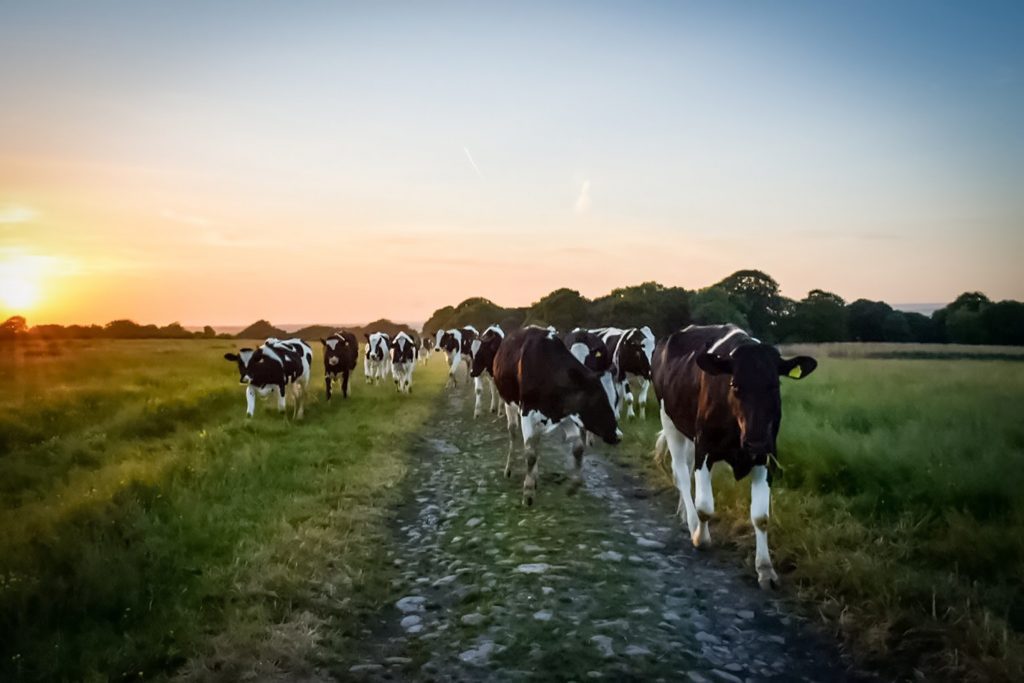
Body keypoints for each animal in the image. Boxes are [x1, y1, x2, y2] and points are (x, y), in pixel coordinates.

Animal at [491, 325, 618, 507]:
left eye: (616, 399)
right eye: (597, 401)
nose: (617, 435)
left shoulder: (565, 413)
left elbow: (578, 448)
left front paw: (574, 485)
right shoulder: (527, 412)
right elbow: (530, 454)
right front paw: (528, 493)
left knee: (536, 442)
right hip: (509, 404)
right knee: (513, 433)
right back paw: (509, 469)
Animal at [651, 325, 819, 589]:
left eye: (775, 386)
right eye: (735, 385)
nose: (755, 441)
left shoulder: (766, 456)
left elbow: (761, 517)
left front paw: (765, 569)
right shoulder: (704, 448)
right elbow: (705, 506)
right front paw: (701, 537)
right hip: (669, 420)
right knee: (681, 475)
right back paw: (691, 522)